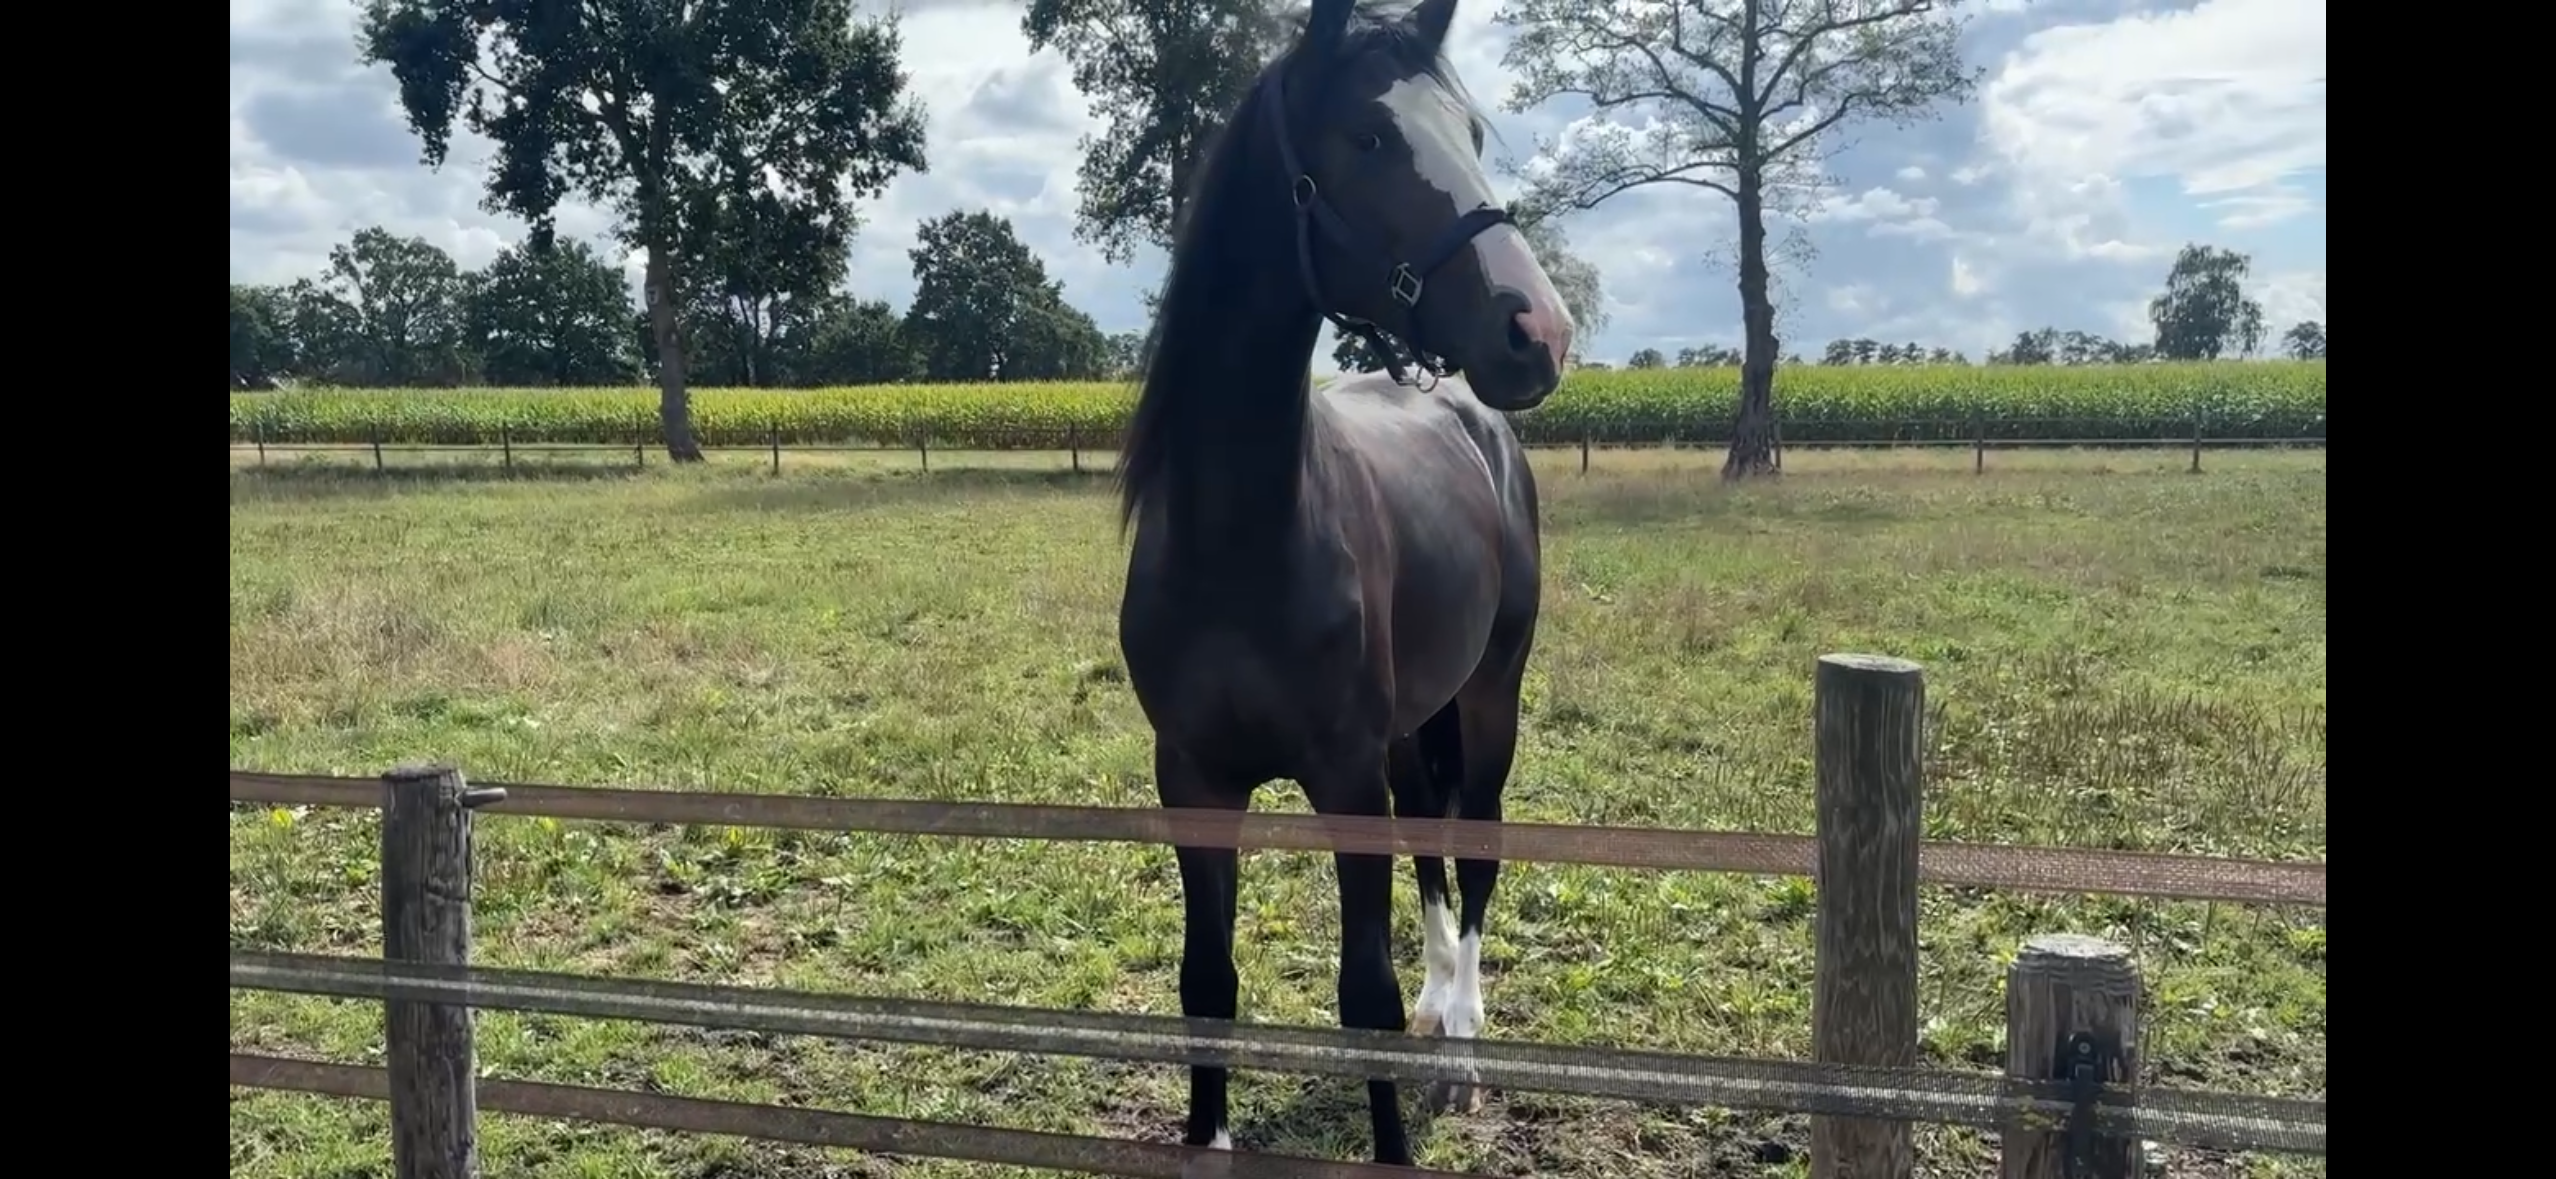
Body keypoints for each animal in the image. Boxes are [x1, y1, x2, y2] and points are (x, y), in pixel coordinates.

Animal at [1111, 0, 1577, 1165]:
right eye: (1368, 138)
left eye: (1473, 133)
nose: (1538, 330)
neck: (1245, 538)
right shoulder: (1192, 778)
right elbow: (1207, 979)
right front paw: (1208, 1136)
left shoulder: (1344, 776)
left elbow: (1362, 994)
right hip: (1413, 729)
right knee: (1433, 853)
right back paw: (1442, 1009)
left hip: (1490, 698)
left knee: (1476, 849)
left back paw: (1460, 1045)